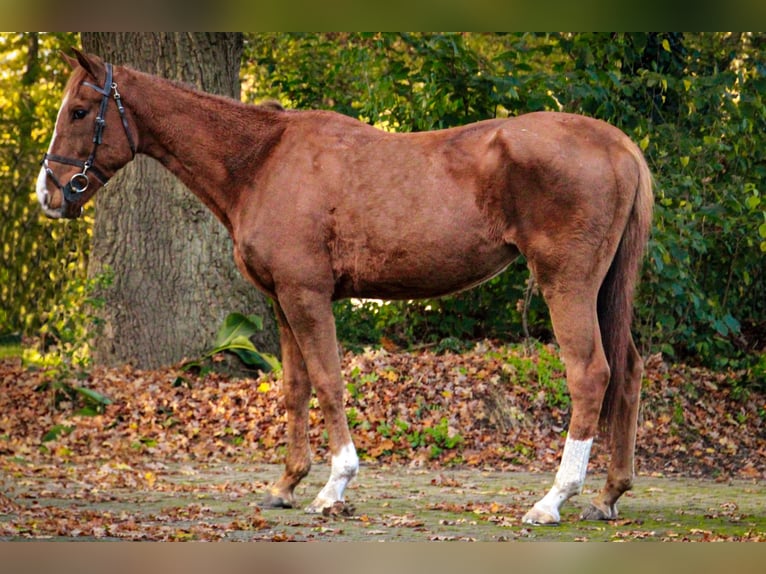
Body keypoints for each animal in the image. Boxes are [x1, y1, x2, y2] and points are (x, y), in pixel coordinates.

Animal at [37, 49, 656, 528]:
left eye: (81, 110)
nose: (48, 194)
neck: (262, 162)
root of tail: (620, 145)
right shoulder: (282, 302)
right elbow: (295, 388)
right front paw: (286, 485)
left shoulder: (307, 296)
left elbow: (330, 383)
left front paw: (334, 488)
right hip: (604, 289)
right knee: (628, 369)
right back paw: (608, 494)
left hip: (566, 284)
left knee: (590, 374)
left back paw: (552, 500)